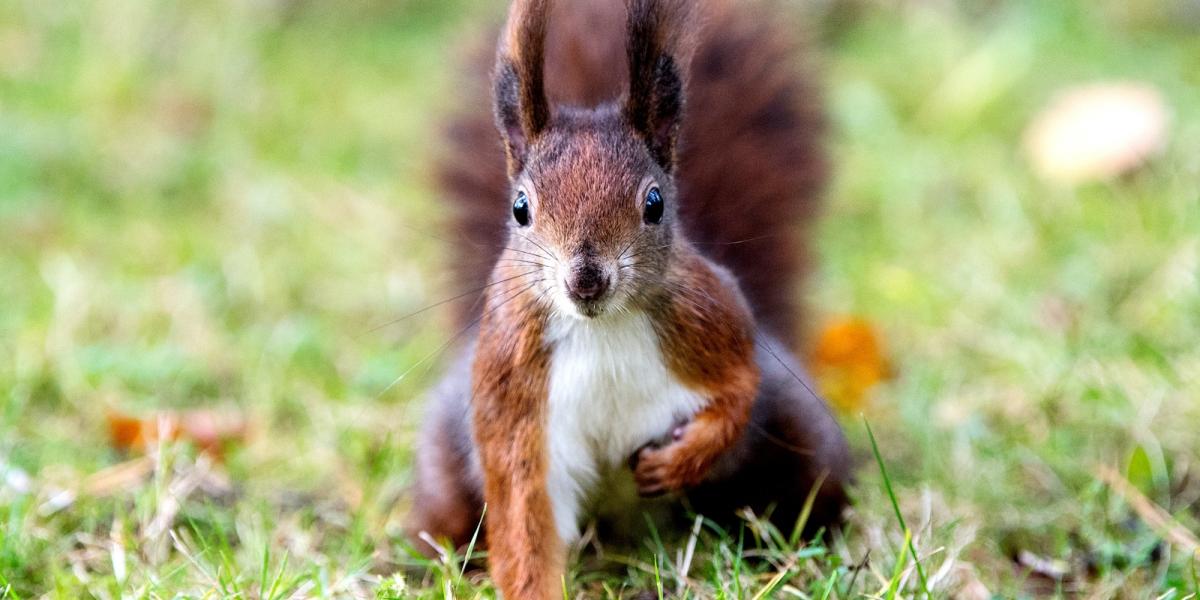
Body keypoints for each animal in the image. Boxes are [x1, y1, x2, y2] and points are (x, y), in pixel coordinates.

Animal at [405, 0, 854, 595]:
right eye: (521, 208)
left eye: (655, 203)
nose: (586, 279)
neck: (602, 328)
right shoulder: (514, 397)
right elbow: (525, 516)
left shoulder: (714, 318)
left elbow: (738, 391)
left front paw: (683, 460)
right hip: (444, 459)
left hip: (804, 434)